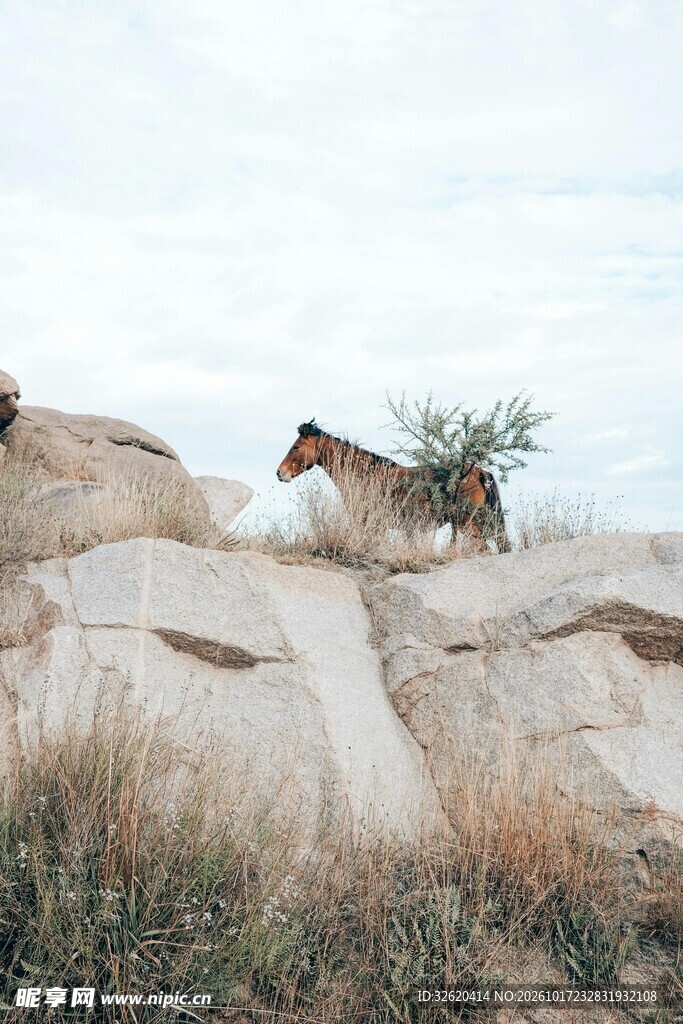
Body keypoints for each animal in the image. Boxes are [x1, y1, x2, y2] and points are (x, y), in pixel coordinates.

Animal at [276, 419, 511, 552]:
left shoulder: (366, 523)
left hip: (468, 525)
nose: (280, 472)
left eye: (296, 447)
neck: (364, 473)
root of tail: (479, 472)